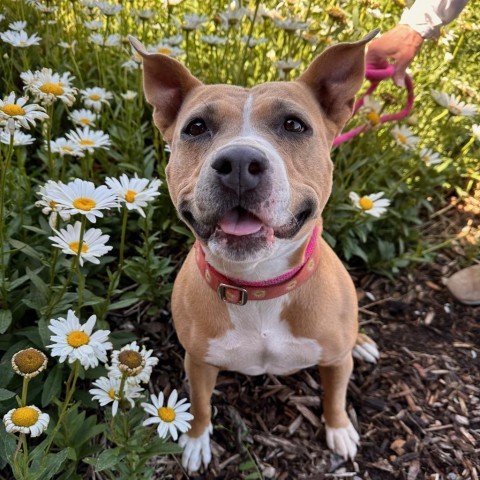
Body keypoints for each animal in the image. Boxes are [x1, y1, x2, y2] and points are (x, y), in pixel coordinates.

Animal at [129, 31, 380, 474]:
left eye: (294, 124)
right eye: (196, 127)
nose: (240, 161)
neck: (259, 283)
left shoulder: (335, 361)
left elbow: (335, 395)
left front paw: (338, 428)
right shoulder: (198, 362)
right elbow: (199, 404)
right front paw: (196, 440)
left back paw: (363, 342)